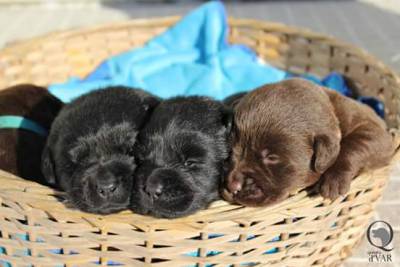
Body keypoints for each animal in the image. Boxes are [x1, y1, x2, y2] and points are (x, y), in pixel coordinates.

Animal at [223, 78, 396, 207]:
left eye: (271, 158)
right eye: (231, 149)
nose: (232, 186)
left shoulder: (378, 133)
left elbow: (354, 144)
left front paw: (334, 180)